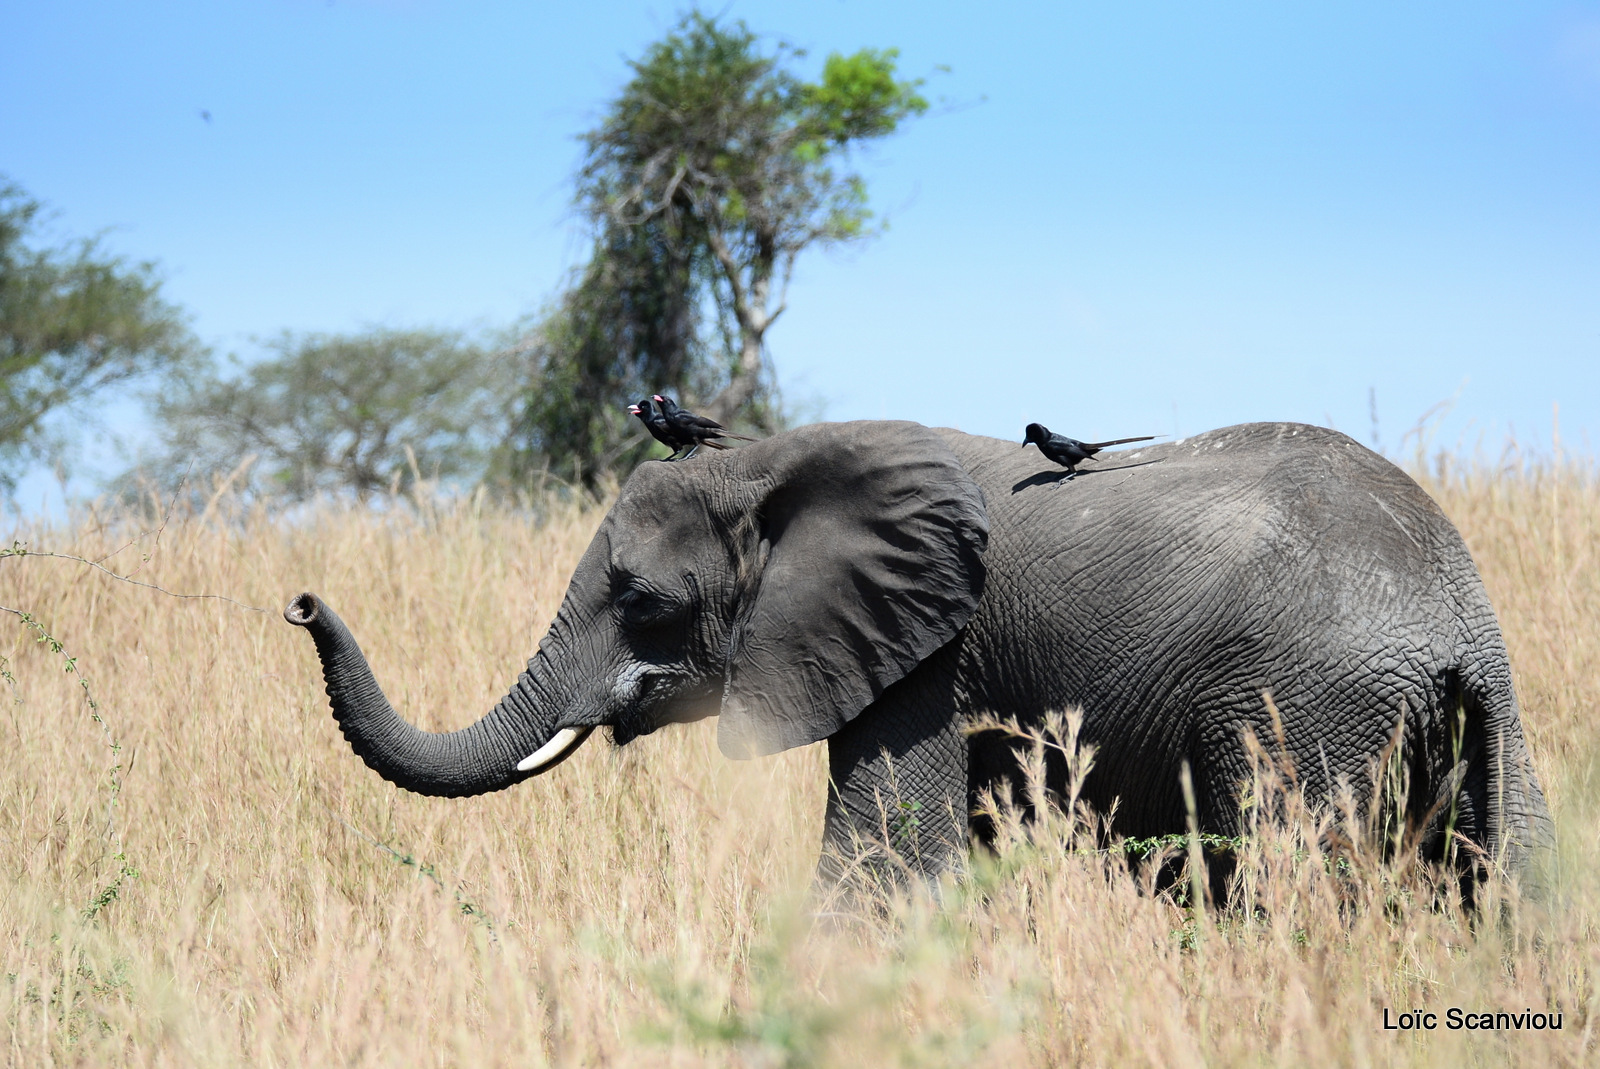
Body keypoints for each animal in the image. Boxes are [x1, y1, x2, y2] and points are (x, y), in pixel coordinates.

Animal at [284, 416, 1548, 883]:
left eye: (640, 602)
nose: (299, 602)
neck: (781, 460)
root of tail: (1453, 616)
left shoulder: (926, 663)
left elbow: (883, 852)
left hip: (1304, 706)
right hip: (1482, 726)